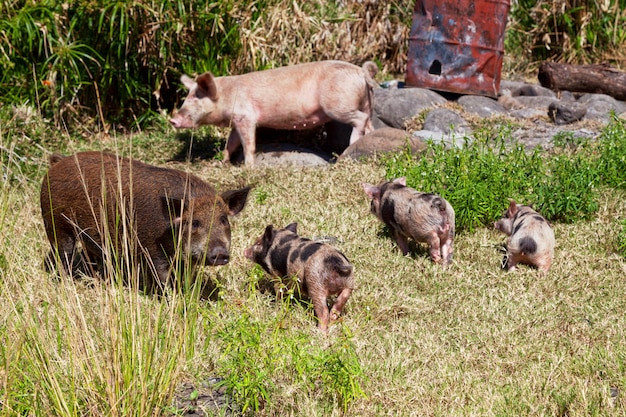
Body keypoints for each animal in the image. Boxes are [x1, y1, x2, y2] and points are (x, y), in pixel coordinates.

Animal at [168, 59, 378, 166]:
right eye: (186, 97)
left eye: (196, 97)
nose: (172, 120)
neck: (226, 95)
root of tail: (361, 71)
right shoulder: (236, 121)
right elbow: (231, 142)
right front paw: (219, 162)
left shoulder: (245, 116)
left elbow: (248, 143)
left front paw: (248, 168)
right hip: (366, 102)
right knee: (370, 124)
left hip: (338, 106)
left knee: (360, 119)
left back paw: (351, 145)